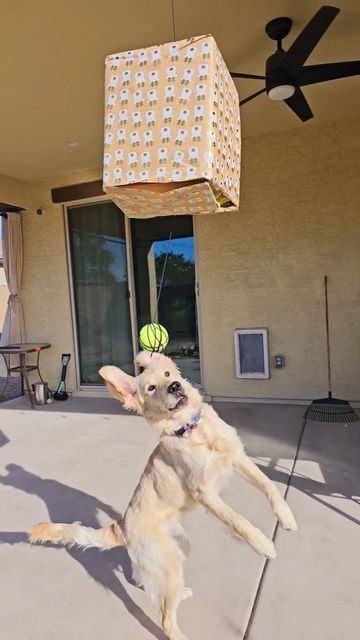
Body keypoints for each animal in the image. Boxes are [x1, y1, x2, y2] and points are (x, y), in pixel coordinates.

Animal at [30, 352, 296, 636]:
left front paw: (286, 517)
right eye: (150, 388)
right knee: (165, 619)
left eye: (168, 375)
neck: (192, 428)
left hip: (180, 548)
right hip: (170, 568)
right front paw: (264, 545)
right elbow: (237, 520)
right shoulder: (203, 491)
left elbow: (270, 486)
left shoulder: (237, 457)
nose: (175, 387)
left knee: (142, 580)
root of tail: (122, 527)